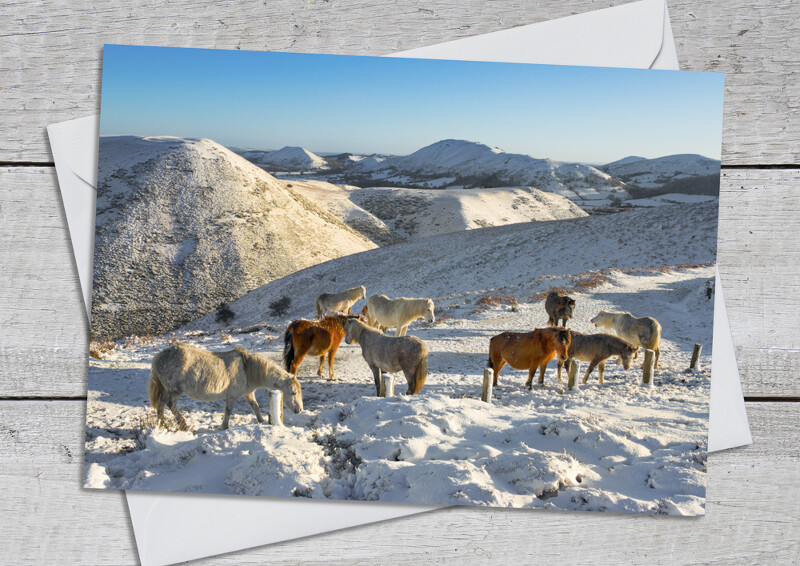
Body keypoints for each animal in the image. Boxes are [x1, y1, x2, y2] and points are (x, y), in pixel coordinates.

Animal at [148, 344, 302, 432]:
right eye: (293, 393)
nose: (299, 410)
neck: (247, 369)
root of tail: (157, 358)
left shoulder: (248, 394)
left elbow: (255, 407)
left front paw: (261, 421)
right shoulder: (232, 396)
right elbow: (228, 411)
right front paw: (224, 427)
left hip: (170, 390)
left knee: (164, 405)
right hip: (174, 391)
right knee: (167, 405)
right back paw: (173, 425)